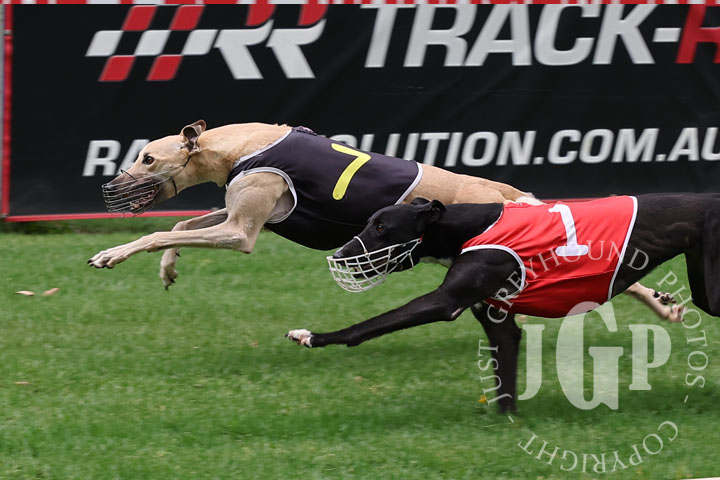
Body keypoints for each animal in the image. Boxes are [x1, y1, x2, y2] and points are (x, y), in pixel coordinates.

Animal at [88, 121, 680, 324]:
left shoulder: (242, 230)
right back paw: (664, 306)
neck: (237, 144)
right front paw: (168, 268)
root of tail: (506, 192)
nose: (110, 186)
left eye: (147, 158)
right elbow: (179, 228)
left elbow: (159, 228)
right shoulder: (236, 211)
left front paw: (112, 253)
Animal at [285, 195, 714, 412]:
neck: (468, 225)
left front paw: (312, 336)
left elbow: (367, 325)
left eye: (380, 226)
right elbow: (505, 380)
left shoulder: (445, 301)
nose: (340, 255)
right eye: (367, 221)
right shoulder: (498, 322)